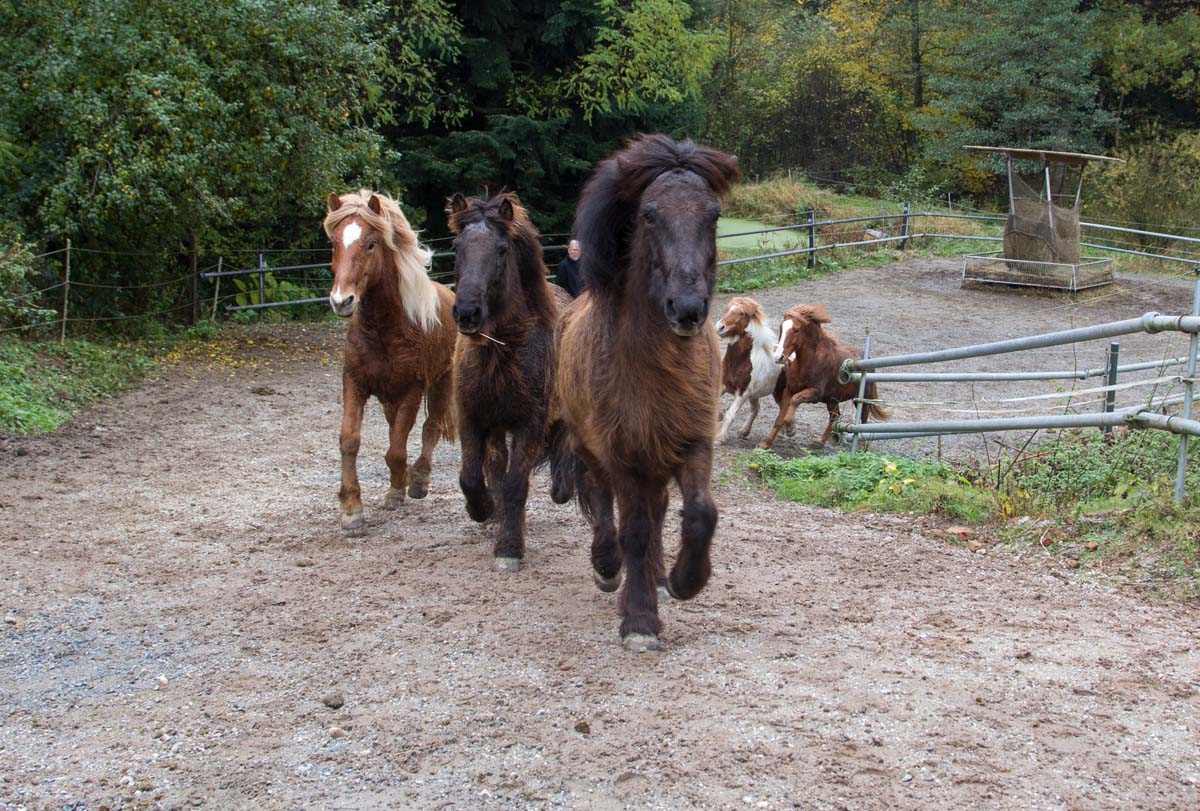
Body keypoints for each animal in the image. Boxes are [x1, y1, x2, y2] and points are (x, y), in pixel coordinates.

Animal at [323, 190, 458, 530]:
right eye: (334, 242)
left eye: (371, 244)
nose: (341, 301)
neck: (384, 329)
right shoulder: (354, 383)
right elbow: (350, 439)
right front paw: (351, 507)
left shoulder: (412, 389)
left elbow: (397, 449)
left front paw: (399, 488)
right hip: (388, 398)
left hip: (442, 382)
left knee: (430, 428)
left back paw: (419, 478)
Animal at [447, 191, 572, 572]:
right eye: (456, 246)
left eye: (501, 249)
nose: (467, 313)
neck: (501, 353)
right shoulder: (473, 417)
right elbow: (473, 476)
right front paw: (484, 509)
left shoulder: (529, 423)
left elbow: (517, 482)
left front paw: (509, 547)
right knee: (495, 465)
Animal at [552, 134, 739, 652]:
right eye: (650, 214)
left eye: (713, 214)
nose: (688, 308)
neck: (655, 365)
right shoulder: (624, 454)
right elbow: (631, 529)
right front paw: (639, 620)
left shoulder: (693, 442)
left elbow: (700, 514)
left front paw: (685, 580)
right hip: (591, 449)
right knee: (602, 505)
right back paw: (608, 567)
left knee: (657, 512)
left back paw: (656, 573)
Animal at [715, 296, 791, 443]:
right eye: (727, 309)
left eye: (741, 313)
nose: (720, 327)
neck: (739, 362)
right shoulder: (722, 385)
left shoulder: (742, 393)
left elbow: (730, 414)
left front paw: (719, 437)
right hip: (756, 394)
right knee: (756, 408)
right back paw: (744, 431)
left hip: (779, 393)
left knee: (784, 409)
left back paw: (788, 431)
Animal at [757, 304, 888, 450]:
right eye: (781, 327)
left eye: (796, 330)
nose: (779, 357)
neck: (809, 361)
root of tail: (868, 359)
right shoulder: (789, 390)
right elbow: (780, 416)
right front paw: (766, 443)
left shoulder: (815, 393)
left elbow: (795, 400)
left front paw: (790, 428)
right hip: (832, 400)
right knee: (835, 417)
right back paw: (819, 442)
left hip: (862, 398)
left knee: (863, 418)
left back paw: (861, 445)